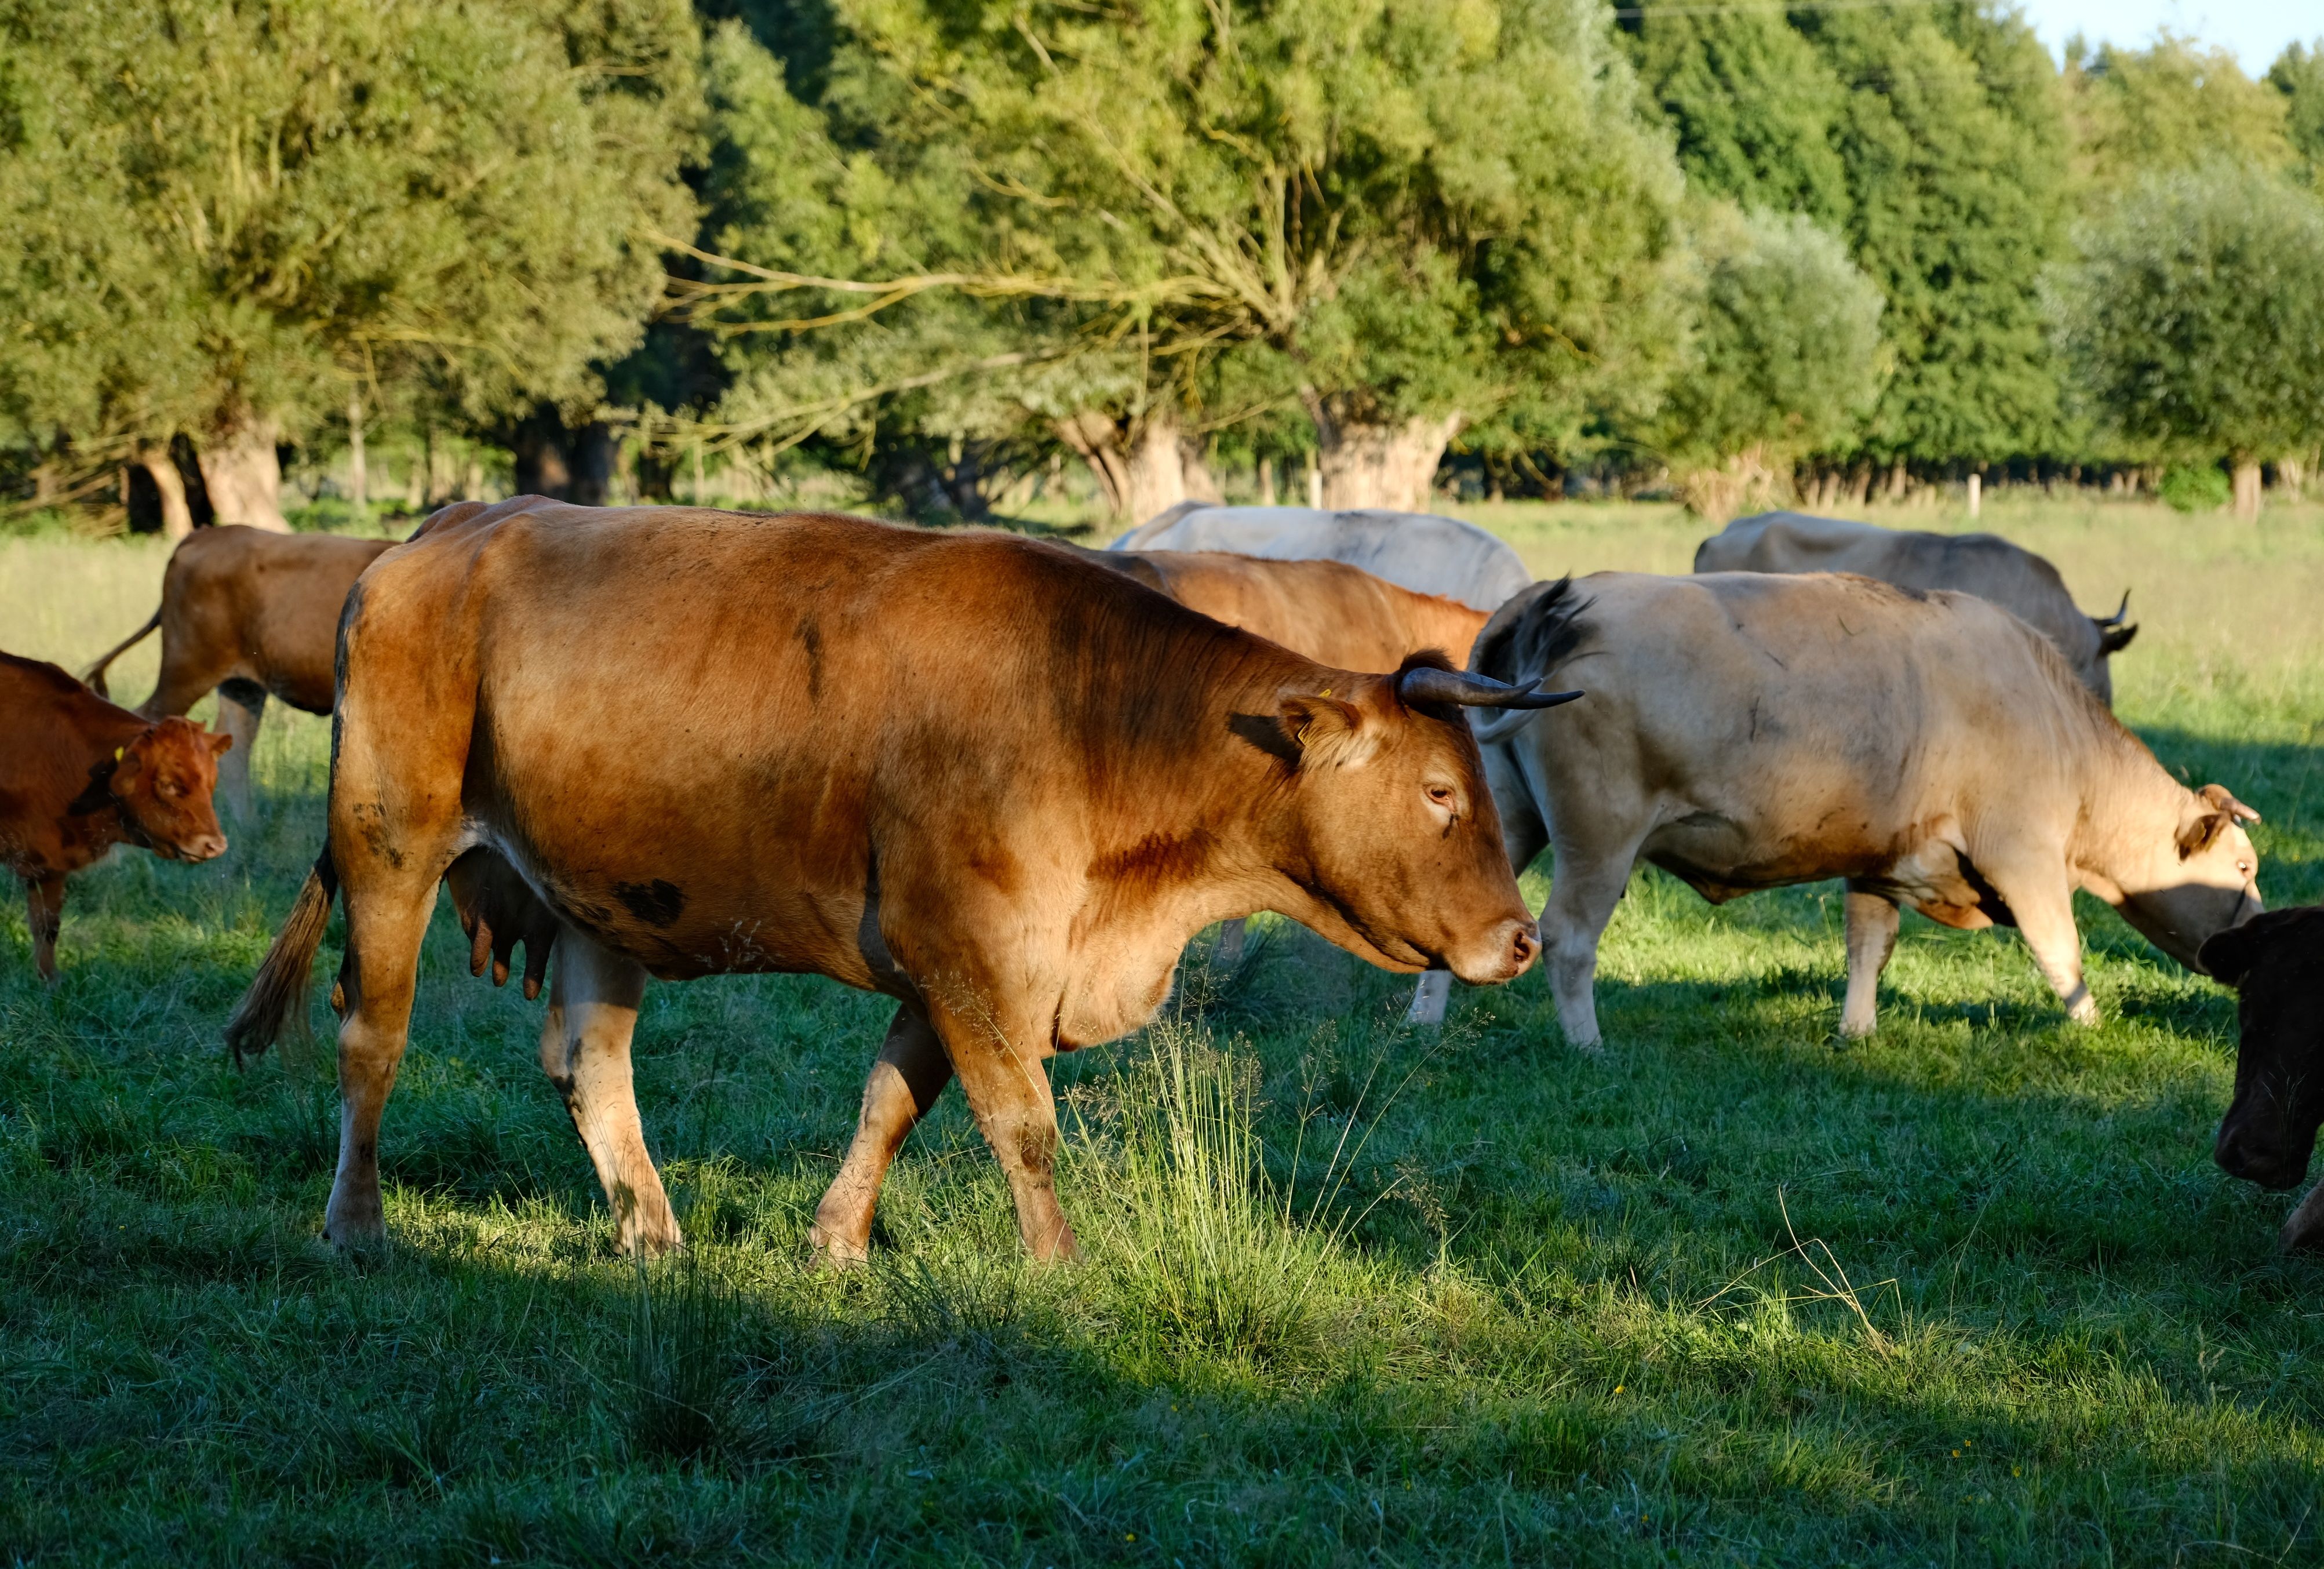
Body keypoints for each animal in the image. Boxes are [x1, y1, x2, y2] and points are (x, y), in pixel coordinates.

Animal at [1, 652, 232, 979]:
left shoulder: (47, 863)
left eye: (212, 782)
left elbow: (47, 925)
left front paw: (49, 981)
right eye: (168, 784)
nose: (215, 845)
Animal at [1468, 572, 2261, 1048]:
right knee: (1568, 937)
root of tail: (1558, 596)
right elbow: (2060, 950)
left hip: (1504, 815)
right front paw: (2093, 1029)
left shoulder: (1877, 859)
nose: (2256, 943)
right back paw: (1587, 1046)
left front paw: (1856, 1033)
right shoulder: (2023, 856)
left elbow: (1867, 949)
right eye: (2244, 868)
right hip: (1598, 837)